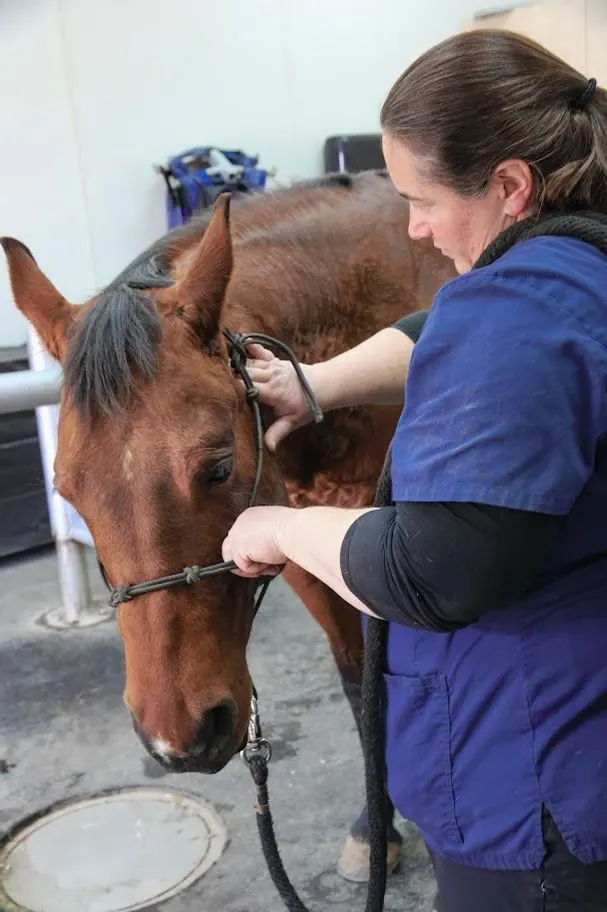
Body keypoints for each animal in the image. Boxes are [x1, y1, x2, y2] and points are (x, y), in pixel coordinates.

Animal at [1, 170, 456, 885]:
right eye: (68, 490)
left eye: (216, 467)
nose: (178, 737)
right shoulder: (308, 549)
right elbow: (360, 684)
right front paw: (375, 825)